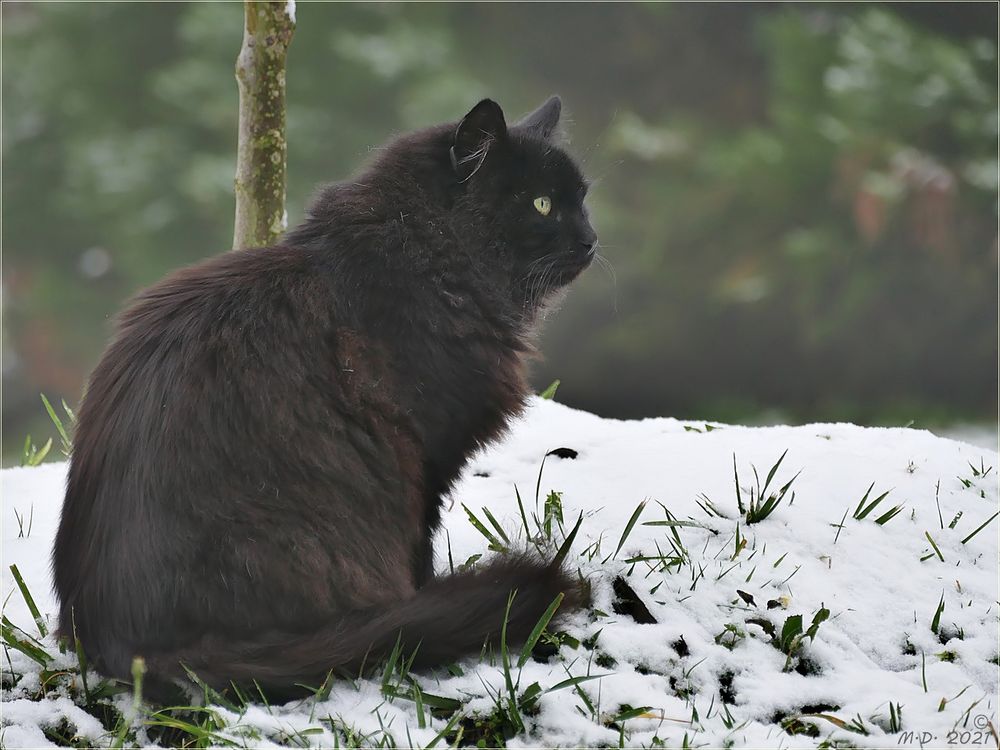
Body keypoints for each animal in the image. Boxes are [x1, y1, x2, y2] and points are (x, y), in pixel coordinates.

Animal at [52, 97, 592, 704]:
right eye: (542, 204)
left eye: (581, 201)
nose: (591, 240)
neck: (427, 258)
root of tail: (134, 649)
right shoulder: (427, 458)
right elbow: (422, 549)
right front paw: (426, 598)